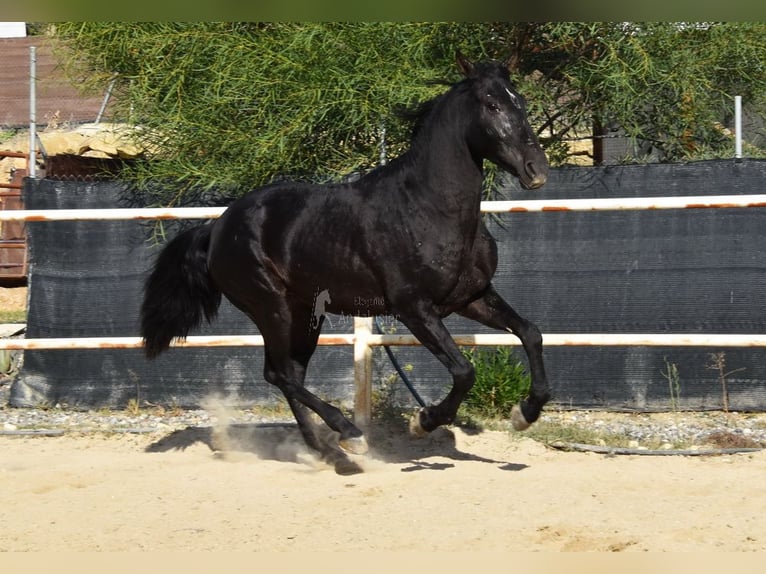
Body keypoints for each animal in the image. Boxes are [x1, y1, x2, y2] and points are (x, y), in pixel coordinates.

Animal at [141, 55, 552, 476]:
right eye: (491, 104)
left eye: (520, 100)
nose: (536, 169)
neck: (427, 208)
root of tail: (217, 228)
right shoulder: (413, 309)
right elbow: (464, 372)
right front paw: (422, 422)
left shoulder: (472, 298)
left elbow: (531, 333)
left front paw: (525, 413)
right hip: (271, 307)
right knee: (280, 374)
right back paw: (350, 435)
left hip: (305, 313)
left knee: (289, 374)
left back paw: (331, 453)